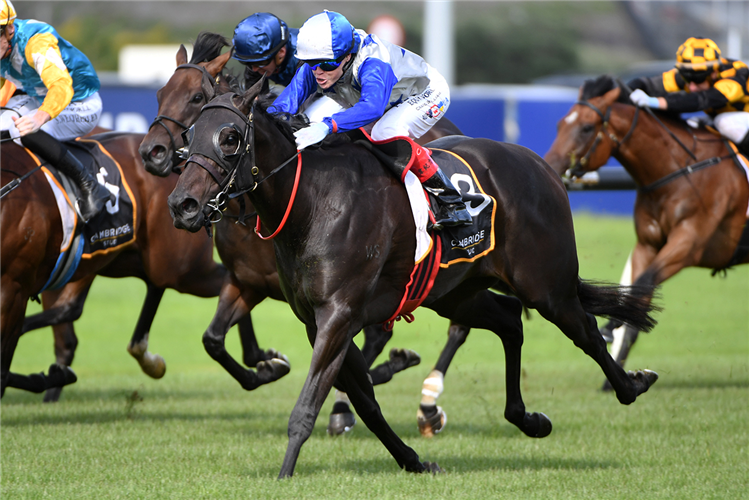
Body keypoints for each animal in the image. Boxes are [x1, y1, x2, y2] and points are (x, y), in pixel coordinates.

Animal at [138, 34, 472, 436]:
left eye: (196, 97)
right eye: (160, 93)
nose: (151, 153)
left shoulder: (335, 292)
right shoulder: (246, 281)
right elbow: (214, 340)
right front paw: (268, 366)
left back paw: (417, 403)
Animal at [166, 83, 660, 477]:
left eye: (230, 138)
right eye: (190, 136)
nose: (182, 204)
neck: (313, 201)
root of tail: (541, 164)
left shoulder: (339, 315)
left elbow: (312, 400)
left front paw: (285, 473)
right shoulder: (318, 320)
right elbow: (363, 399)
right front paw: (414, 460)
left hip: (546, 283)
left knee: (586, 331)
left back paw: (631, 385)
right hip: (456, 292)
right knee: (508, 319)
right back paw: (527, 418)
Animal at [543, 75, 749, 385]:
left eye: (587, 127)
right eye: (559, 124)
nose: (550, 166)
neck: (681, 171)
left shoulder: (689, 243)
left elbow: (643, 281)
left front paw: (610, 326)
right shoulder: (647, 245)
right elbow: (636, 292)